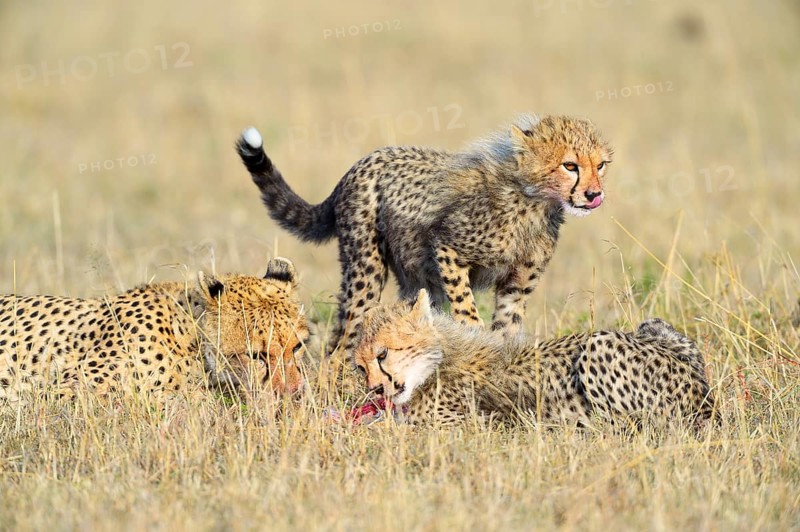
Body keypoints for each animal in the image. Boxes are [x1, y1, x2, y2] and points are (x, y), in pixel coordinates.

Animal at [236, 114, 613, 357]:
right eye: (570, 166)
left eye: (601, 165)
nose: (594, 194)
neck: (533, 201)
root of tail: (359, 164)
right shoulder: (447, 248)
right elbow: (466, 307)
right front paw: (473, 335)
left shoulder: (515, 285)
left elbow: (508, 328)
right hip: (366, 269)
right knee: (347, 333)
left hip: (413, 278)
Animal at [354, 289, 715, 427]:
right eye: (360, 367)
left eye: (383, 354)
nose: (375, 389)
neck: (441, 357)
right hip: (652, 326)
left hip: (599, 344)